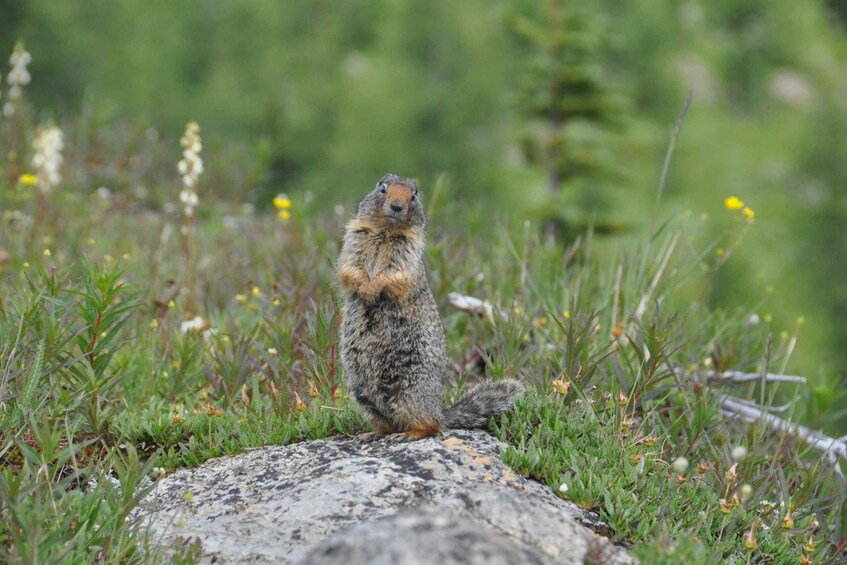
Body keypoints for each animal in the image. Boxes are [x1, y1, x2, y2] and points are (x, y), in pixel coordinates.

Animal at [336, 173, 524, 440]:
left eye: (414, 195)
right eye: (382, 187)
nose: (397, 206)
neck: (386, 231)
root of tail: (441, 411)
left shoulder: (407, 252)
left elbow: (395, 274)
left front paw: (373, 288)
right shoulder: (354, 237)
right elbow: (349, 267)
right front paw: (364, 287)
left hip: (412, 391)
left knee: (432, 425)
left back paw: (411, 433)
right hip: (363, 394)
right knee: (387, 422)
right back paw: (374, 433)